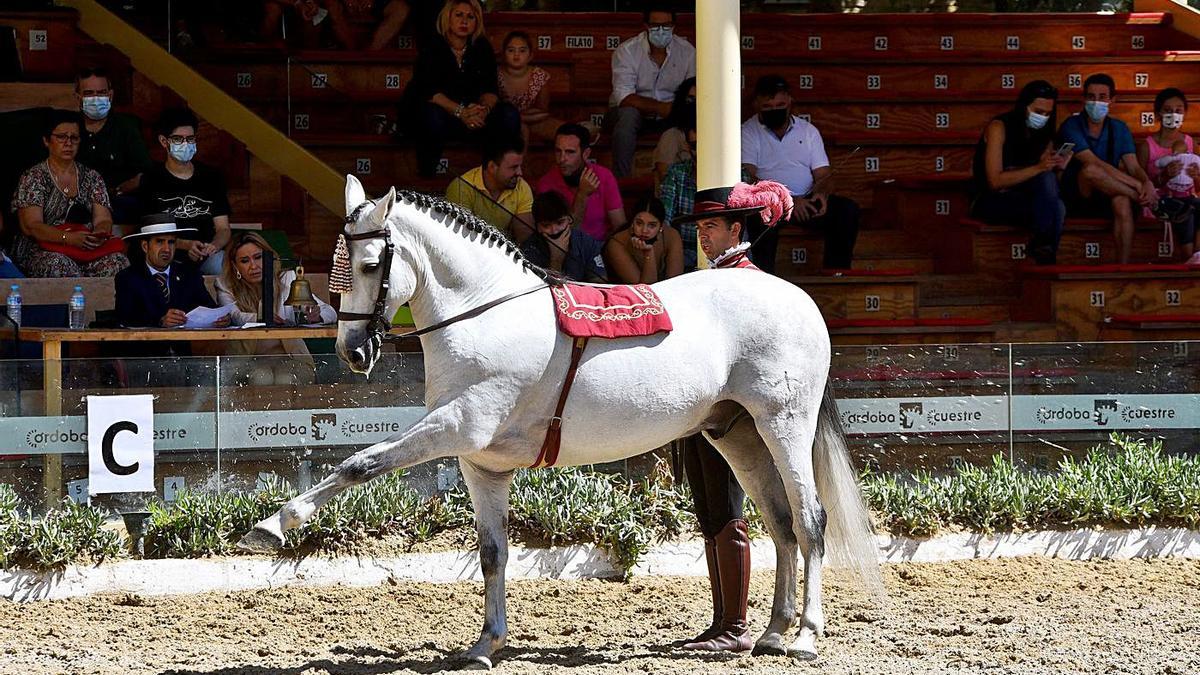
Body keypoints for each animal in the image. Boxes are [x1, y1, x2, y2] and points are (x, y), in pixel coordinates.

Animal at [241, 174, 883, 667]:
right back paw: (771, 632)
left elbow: (360, 463)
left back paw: (805, 636)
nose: (352, 351)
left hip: (784, 425)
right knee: (779, 524)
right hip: (737, 435)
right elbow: (492, 553)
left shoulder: (456, 427)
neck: (483, 314)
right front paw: (486, 644)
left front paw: (273, 524)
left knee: (811, 520)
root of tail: (796, 299)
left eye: (372, 263)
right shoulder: (480, 462)